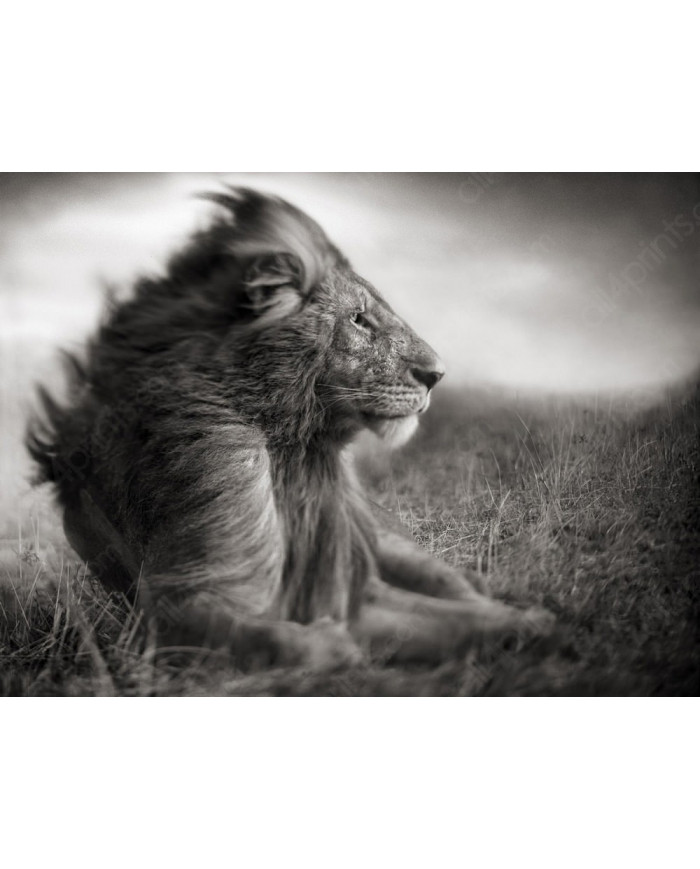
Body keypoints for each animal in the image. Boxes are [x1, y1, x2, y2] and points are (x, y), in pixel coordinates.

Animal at [26, 186, 554, 670]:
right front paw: (331, 646)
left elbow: (459, 618)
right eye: (359, 319)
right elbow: (272, 638)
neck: (294, 450)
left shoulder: (352, 587)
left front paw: (531, 621)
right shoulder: (172, 608)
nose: (437, 375)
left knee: (447, 578)